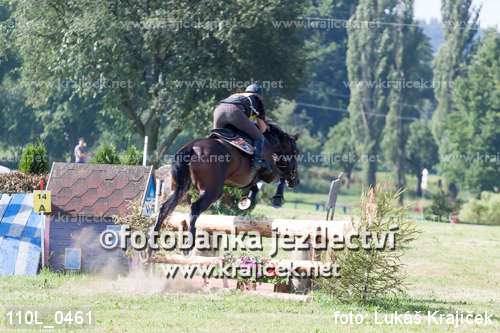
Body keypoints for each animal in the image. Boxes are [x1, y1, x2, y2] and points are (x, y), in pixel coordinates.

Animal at [154, 120, 298, 243]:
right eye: (296, 152)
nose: (295, 181)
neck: (271, 143)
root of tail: (191, 147)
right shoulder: (270, 172)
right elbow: (281, 176)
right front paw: (278, 198)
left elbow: (254, 186)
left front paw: (246, 202)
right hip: (212, 191)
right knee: (194, 208)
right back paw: (189, 243)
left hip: (181, 188)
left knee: (165, 207)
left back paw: (153, 240)